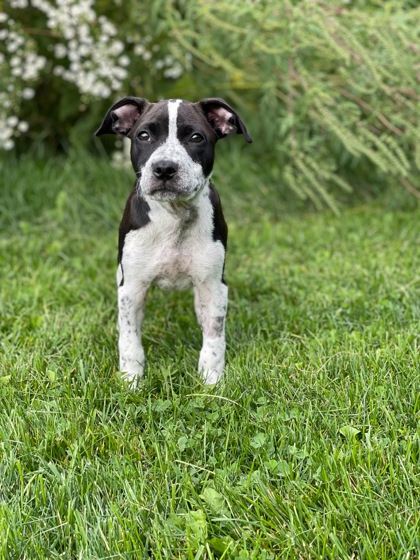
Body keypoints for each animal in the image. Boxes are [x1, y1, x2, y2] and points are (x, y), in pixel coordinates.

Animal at [96, 97, 249, 384]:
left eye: (196, 137)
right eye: (143, 135)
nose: (165, 168)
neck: (174, 216)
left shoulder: (214, 286)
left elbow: (214, 337)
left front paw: (211, 380)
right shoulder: (132, 288)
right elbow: (130, 339)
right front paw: (131, 379)